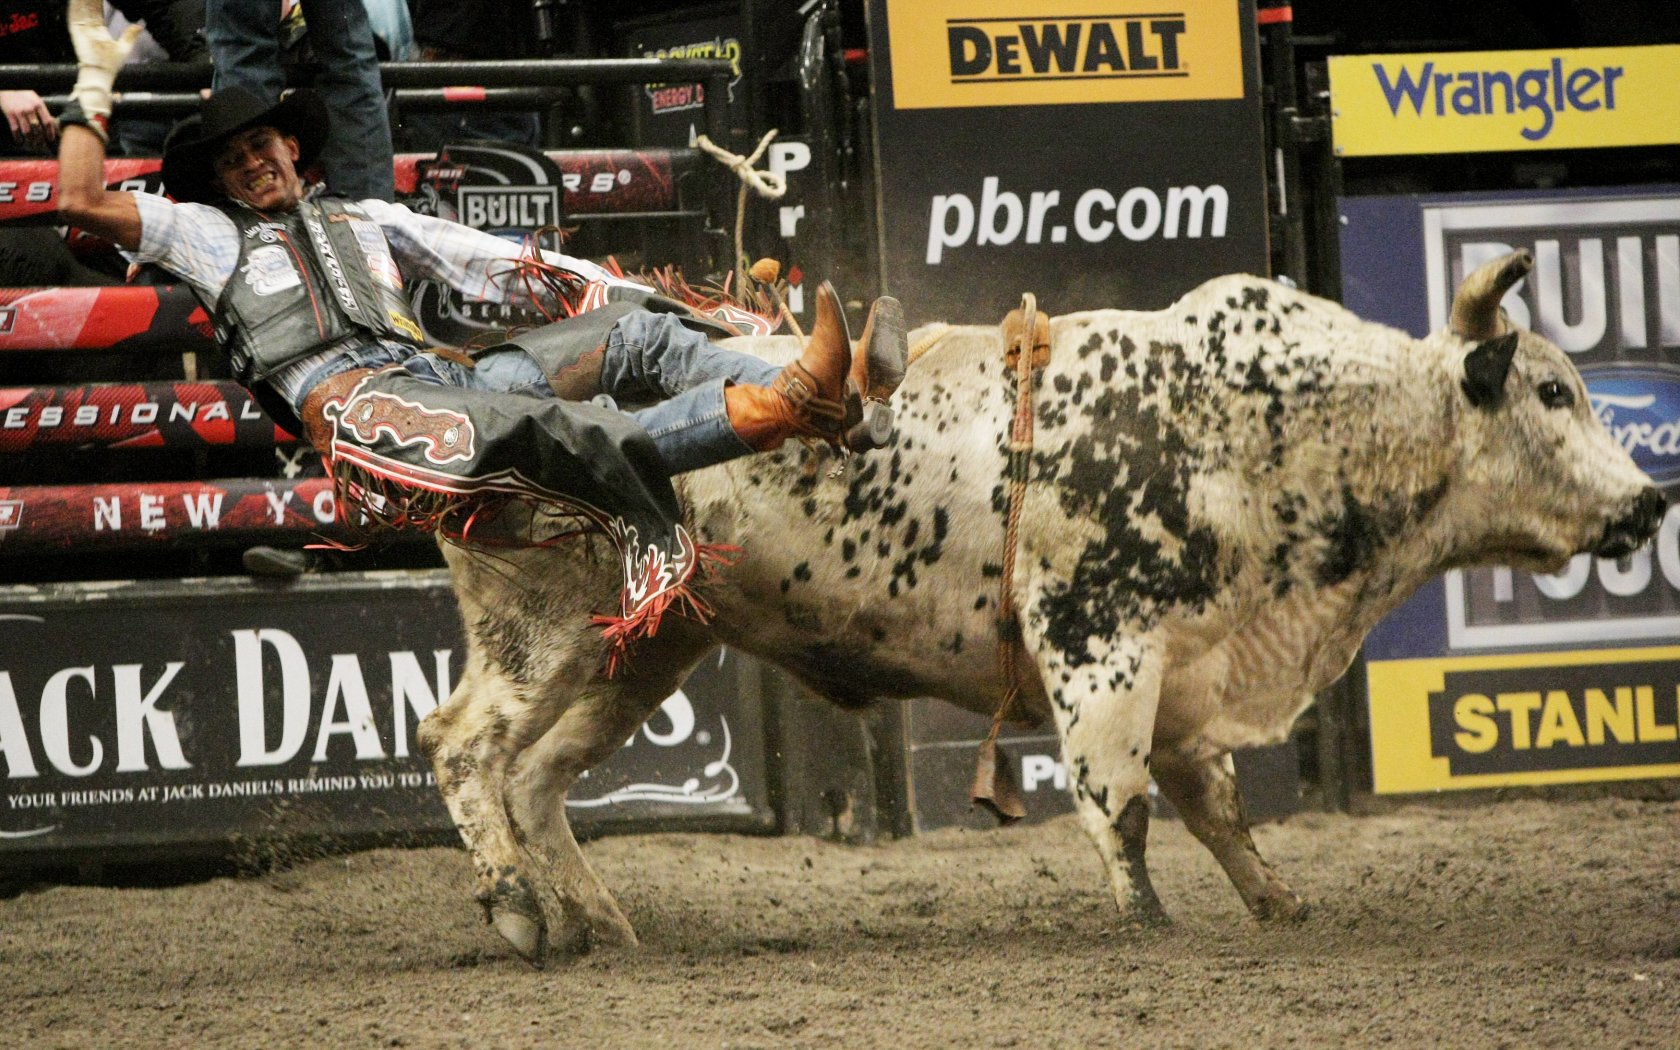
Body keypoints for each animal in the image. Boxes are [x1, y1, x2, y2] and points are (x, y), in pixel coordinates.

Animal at [420, 251, 1666, 960]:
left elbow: (1218, 807)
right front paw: (1150, 929)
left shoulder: (1193, 665)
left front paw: (1279, 909)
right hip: (539, 623)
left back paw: (597, 922)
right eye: (1551, 391)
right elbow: (1120, 801)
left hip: (645, 642)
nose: (1651, 500)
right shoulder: (1098, 641)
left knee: (538, 775)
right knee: (463, 744)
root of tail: (486, 385)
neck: (1260, 424)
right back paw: (517, 906)